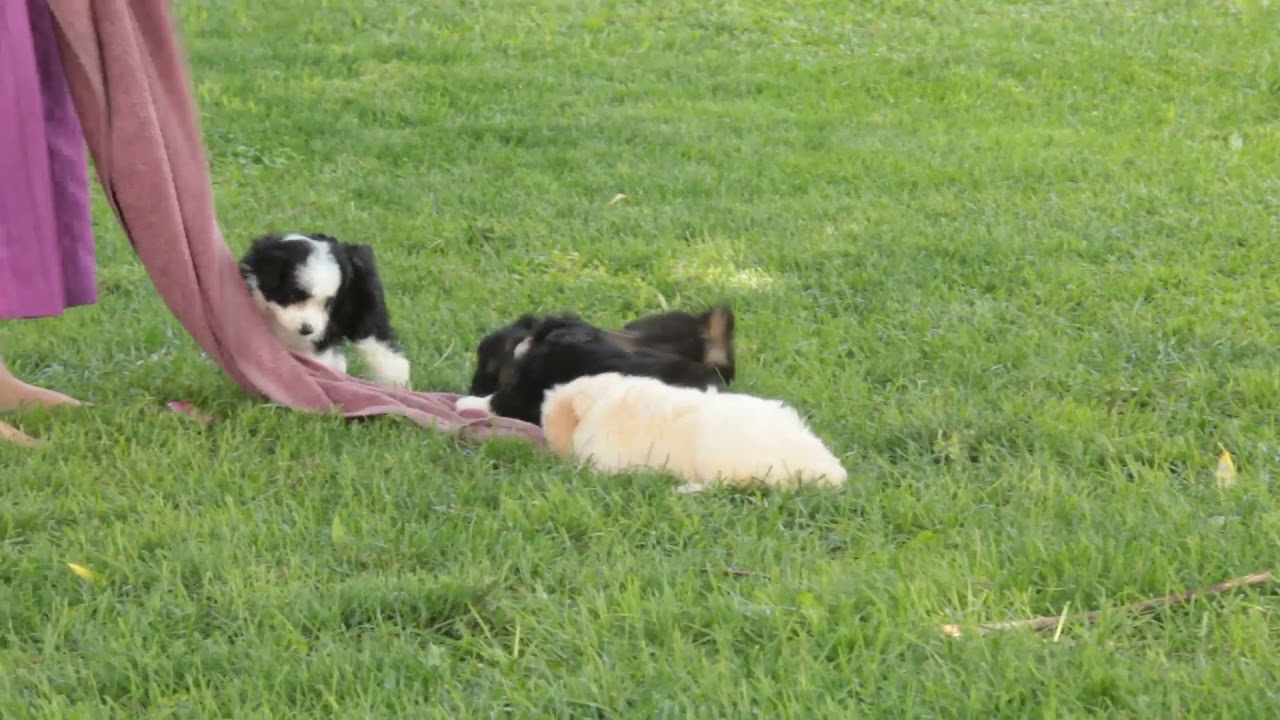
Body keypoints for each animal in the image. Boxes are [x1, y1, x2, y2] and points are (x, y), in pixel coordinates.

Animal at [232, 230, 407, 386]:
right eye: (294, 296)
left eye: (327, 304)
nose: (307, 329)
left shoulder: (322, 332)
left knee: (379, 343)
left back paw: (396, 381)